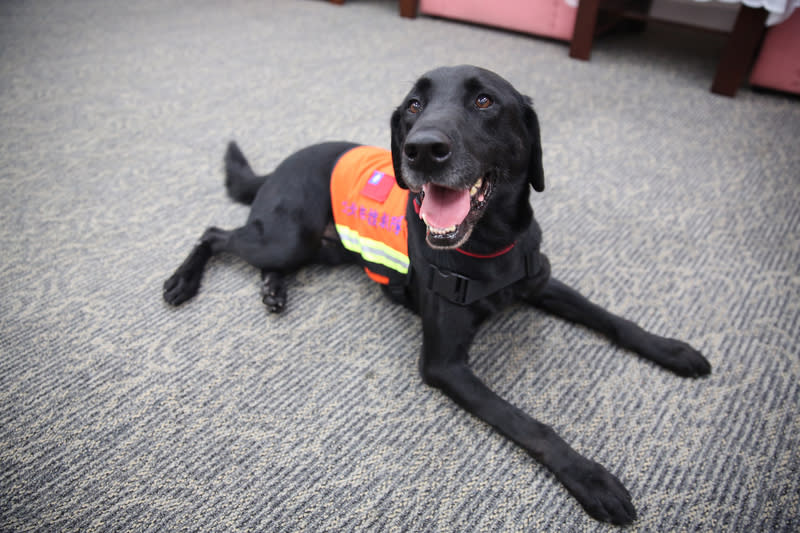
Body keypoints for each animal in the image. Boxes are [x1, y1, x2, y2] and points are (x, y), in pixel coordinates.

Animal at [161, 65, 708, 524]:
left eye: (485, 101)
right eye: (412, 106)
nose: (422, 149)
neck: (491, 245)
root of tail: (278, 165)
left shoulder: (541, 282)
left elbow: (611, 317)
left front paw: (672, 349)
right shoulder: (446, 366)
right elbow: (530, 424)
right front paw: (591, 478)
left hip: (322, 249)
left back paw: (273, 289)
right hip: (287, 235)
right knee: (215, 233)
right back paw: (182, 282)